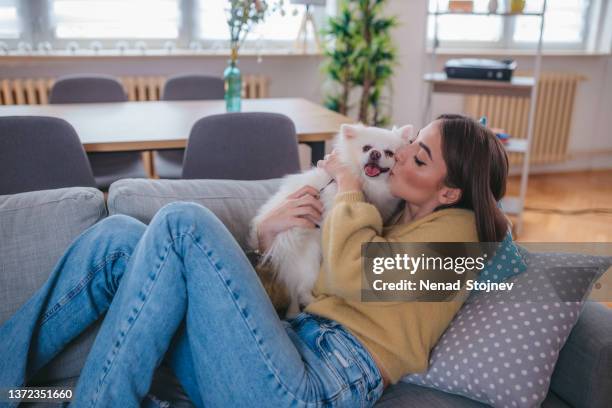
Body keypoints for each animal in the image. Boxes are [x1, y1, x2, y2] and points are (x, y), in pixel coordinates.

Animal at [251, 122, 414, 318]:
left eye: (389, 153)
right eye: (366, 148)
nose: (375, 153)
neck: (369, 184)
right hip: (309, 256)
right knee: (301, 290)